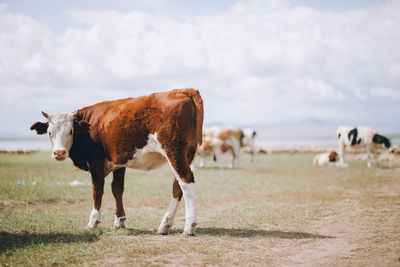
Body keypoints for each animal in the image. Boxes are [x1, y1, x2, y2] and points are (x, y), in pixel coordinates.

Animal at [31, 89, 205, 237]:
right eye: (49, 132)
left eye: (70, 131)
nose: (59, 153)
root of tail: (183, 90)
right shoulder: (119, 163)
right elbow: (117, 189)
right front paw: (119, 221)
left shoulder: (95, 161)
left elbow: (97, 189)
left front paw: (93, 221)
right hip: (185, 155)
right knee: (177, 186)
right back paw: (165, 225)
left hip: (173, 152)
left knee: (186, 182)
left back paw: (189, 227)